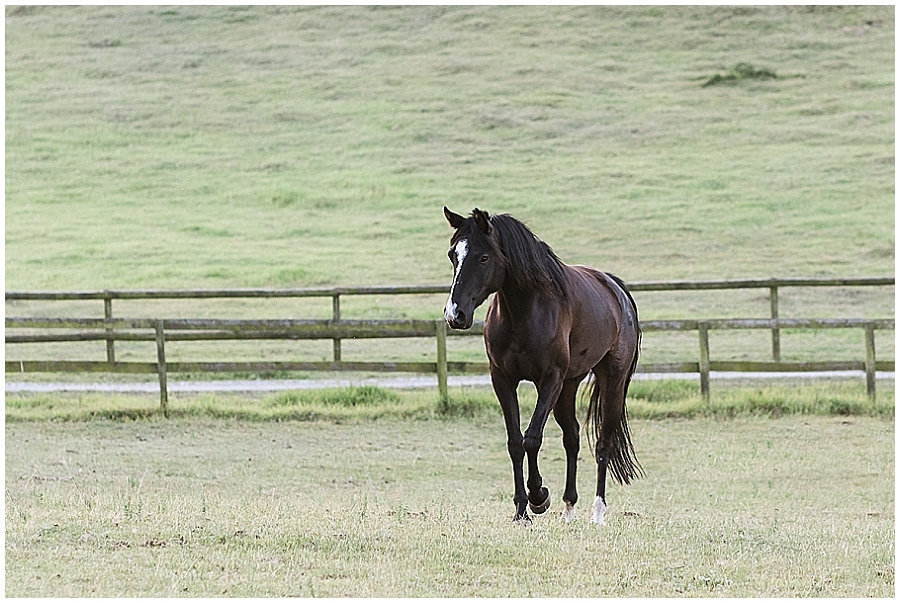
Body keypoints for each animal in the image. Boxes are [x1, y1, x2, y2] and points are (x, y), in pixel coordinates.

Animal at [442, 207, 642, 525]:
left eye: (483, 257)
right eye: (453, 255)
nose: (454, 314)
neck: (524, 312)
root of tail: (615, 288)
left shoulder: (550, 380)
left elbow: (532, 439)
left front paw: (538, 497)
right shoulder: (502, 380)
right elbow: (515, 442)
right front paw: (521, 510)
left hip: (612, 383)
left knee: (603, 443)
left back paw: (598, 512)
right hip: (569, 386)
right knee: (572, 438)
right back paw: (569, 507)